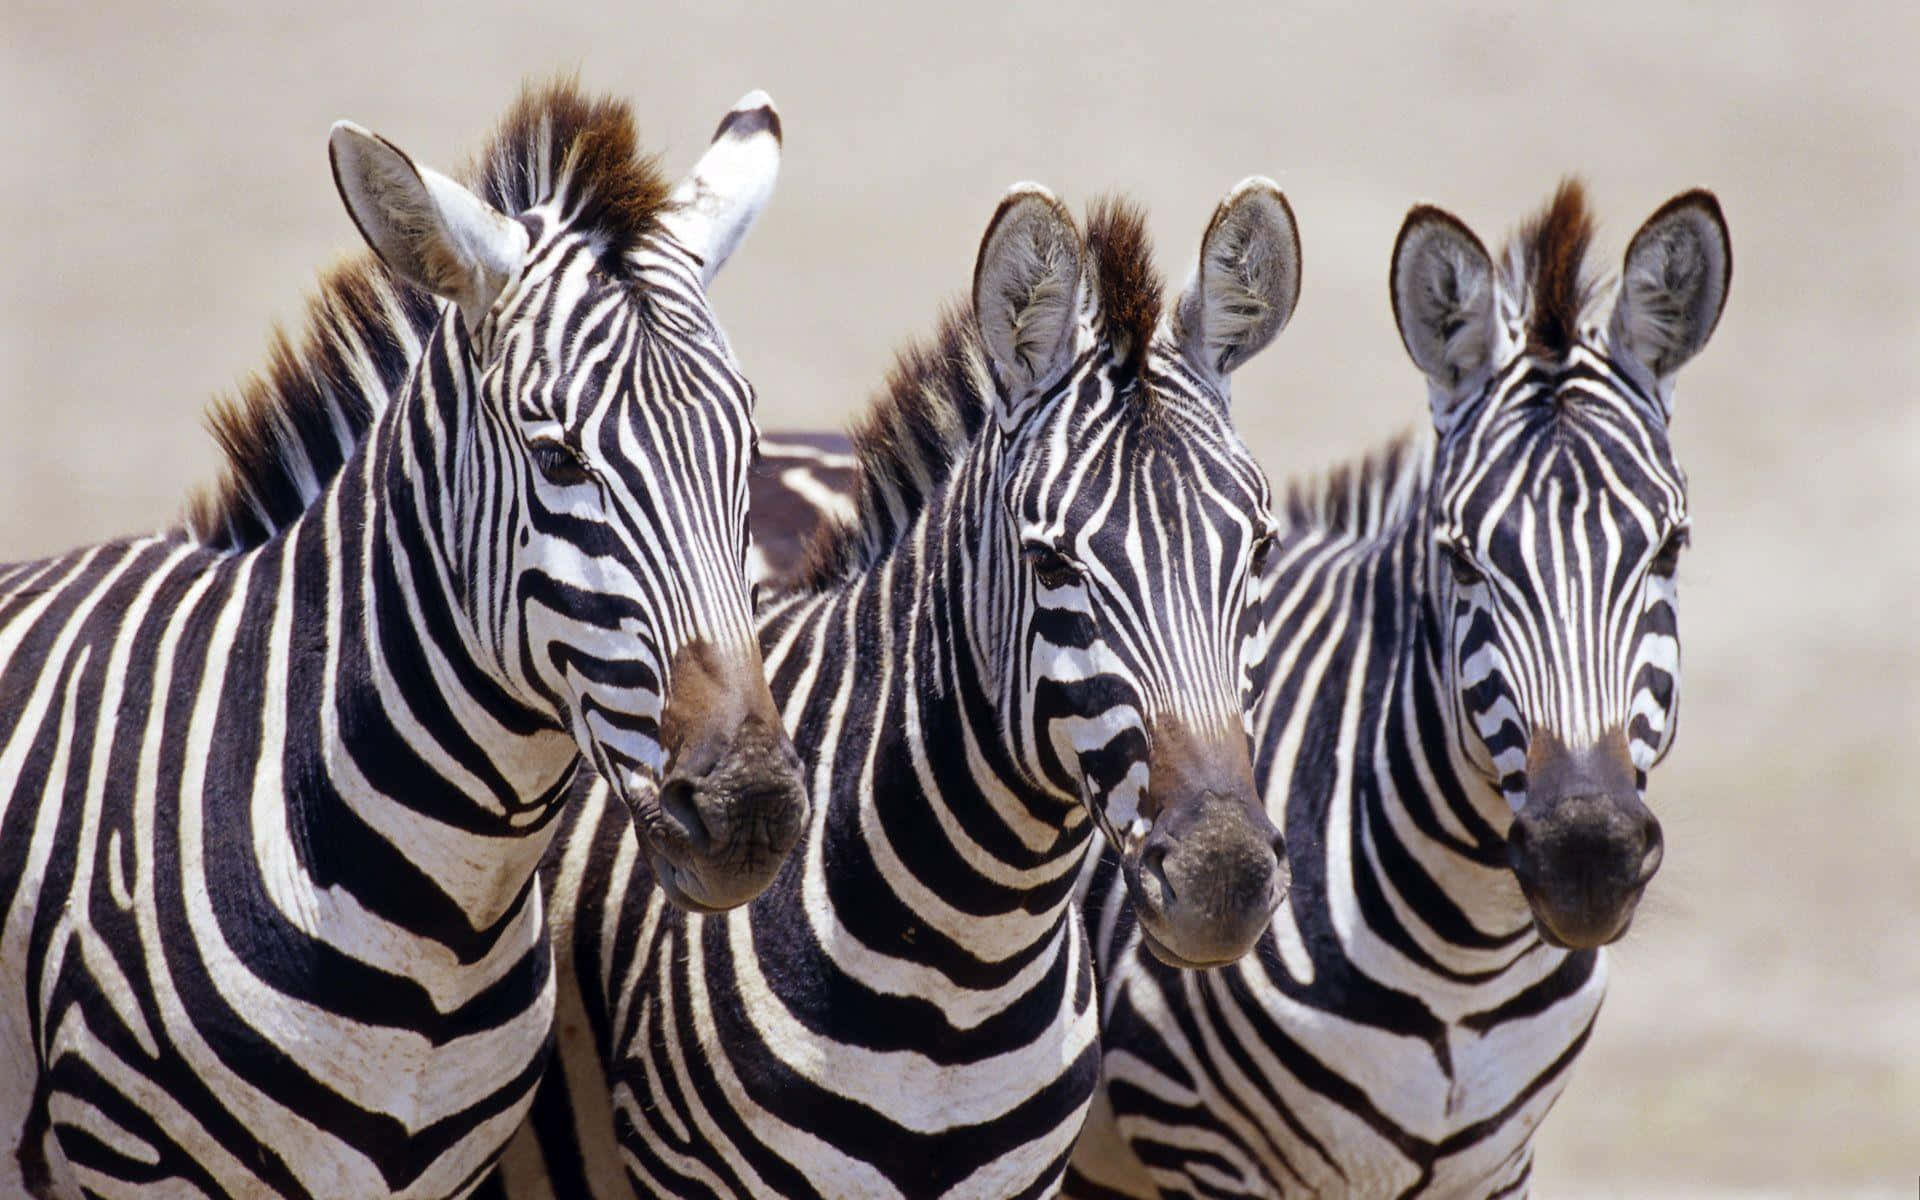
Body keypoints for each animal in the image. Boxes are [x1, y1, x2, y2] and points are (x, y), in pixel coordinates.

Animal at [1065, 181, 1733, 1198]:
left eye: (1669, 548)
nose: (1586, 858)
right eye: (1462, 559)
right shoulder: (1204, 1149)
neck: (1467, 957)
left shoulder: (1497, 1167)